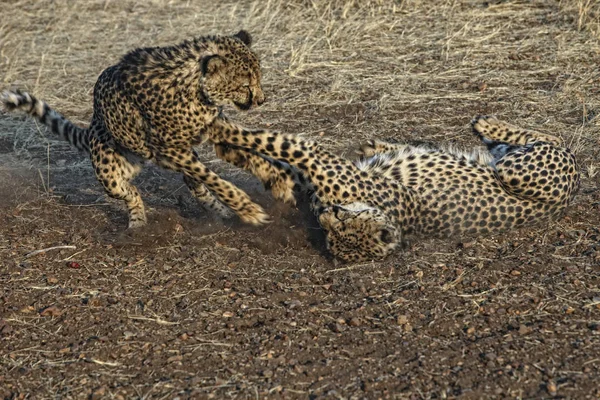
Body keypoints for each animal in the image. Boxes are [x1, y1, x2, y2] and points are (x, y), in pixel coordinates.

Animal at [0, 30, 274, 228]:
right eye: (245, 84)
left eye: (259, 78)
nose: (261, 100)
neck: (195, 88)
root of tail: (93, 124)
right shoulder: (171, 149)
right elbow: (214, 178)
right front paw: (248, 208)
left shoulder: (211, 128)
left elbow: (250, 148)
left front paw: (271, 174)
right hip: (110, 175)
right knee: (131, 192)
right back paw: (138, 223)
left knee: (192, 182)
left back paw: (221, 211)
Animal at [207, 115, 580, 262]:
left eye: (341, 230)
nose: (327, 216)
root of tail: (570, 196)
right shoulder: (312, 179)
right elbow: (277, 163)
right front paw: (230, 148)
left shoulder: (319, 163)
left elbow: (279, 143)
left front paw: (221, 130)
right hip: (505, 161)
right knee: (543, 137)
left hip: (514, 171)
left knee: (553, 139)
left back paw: (487, 124)